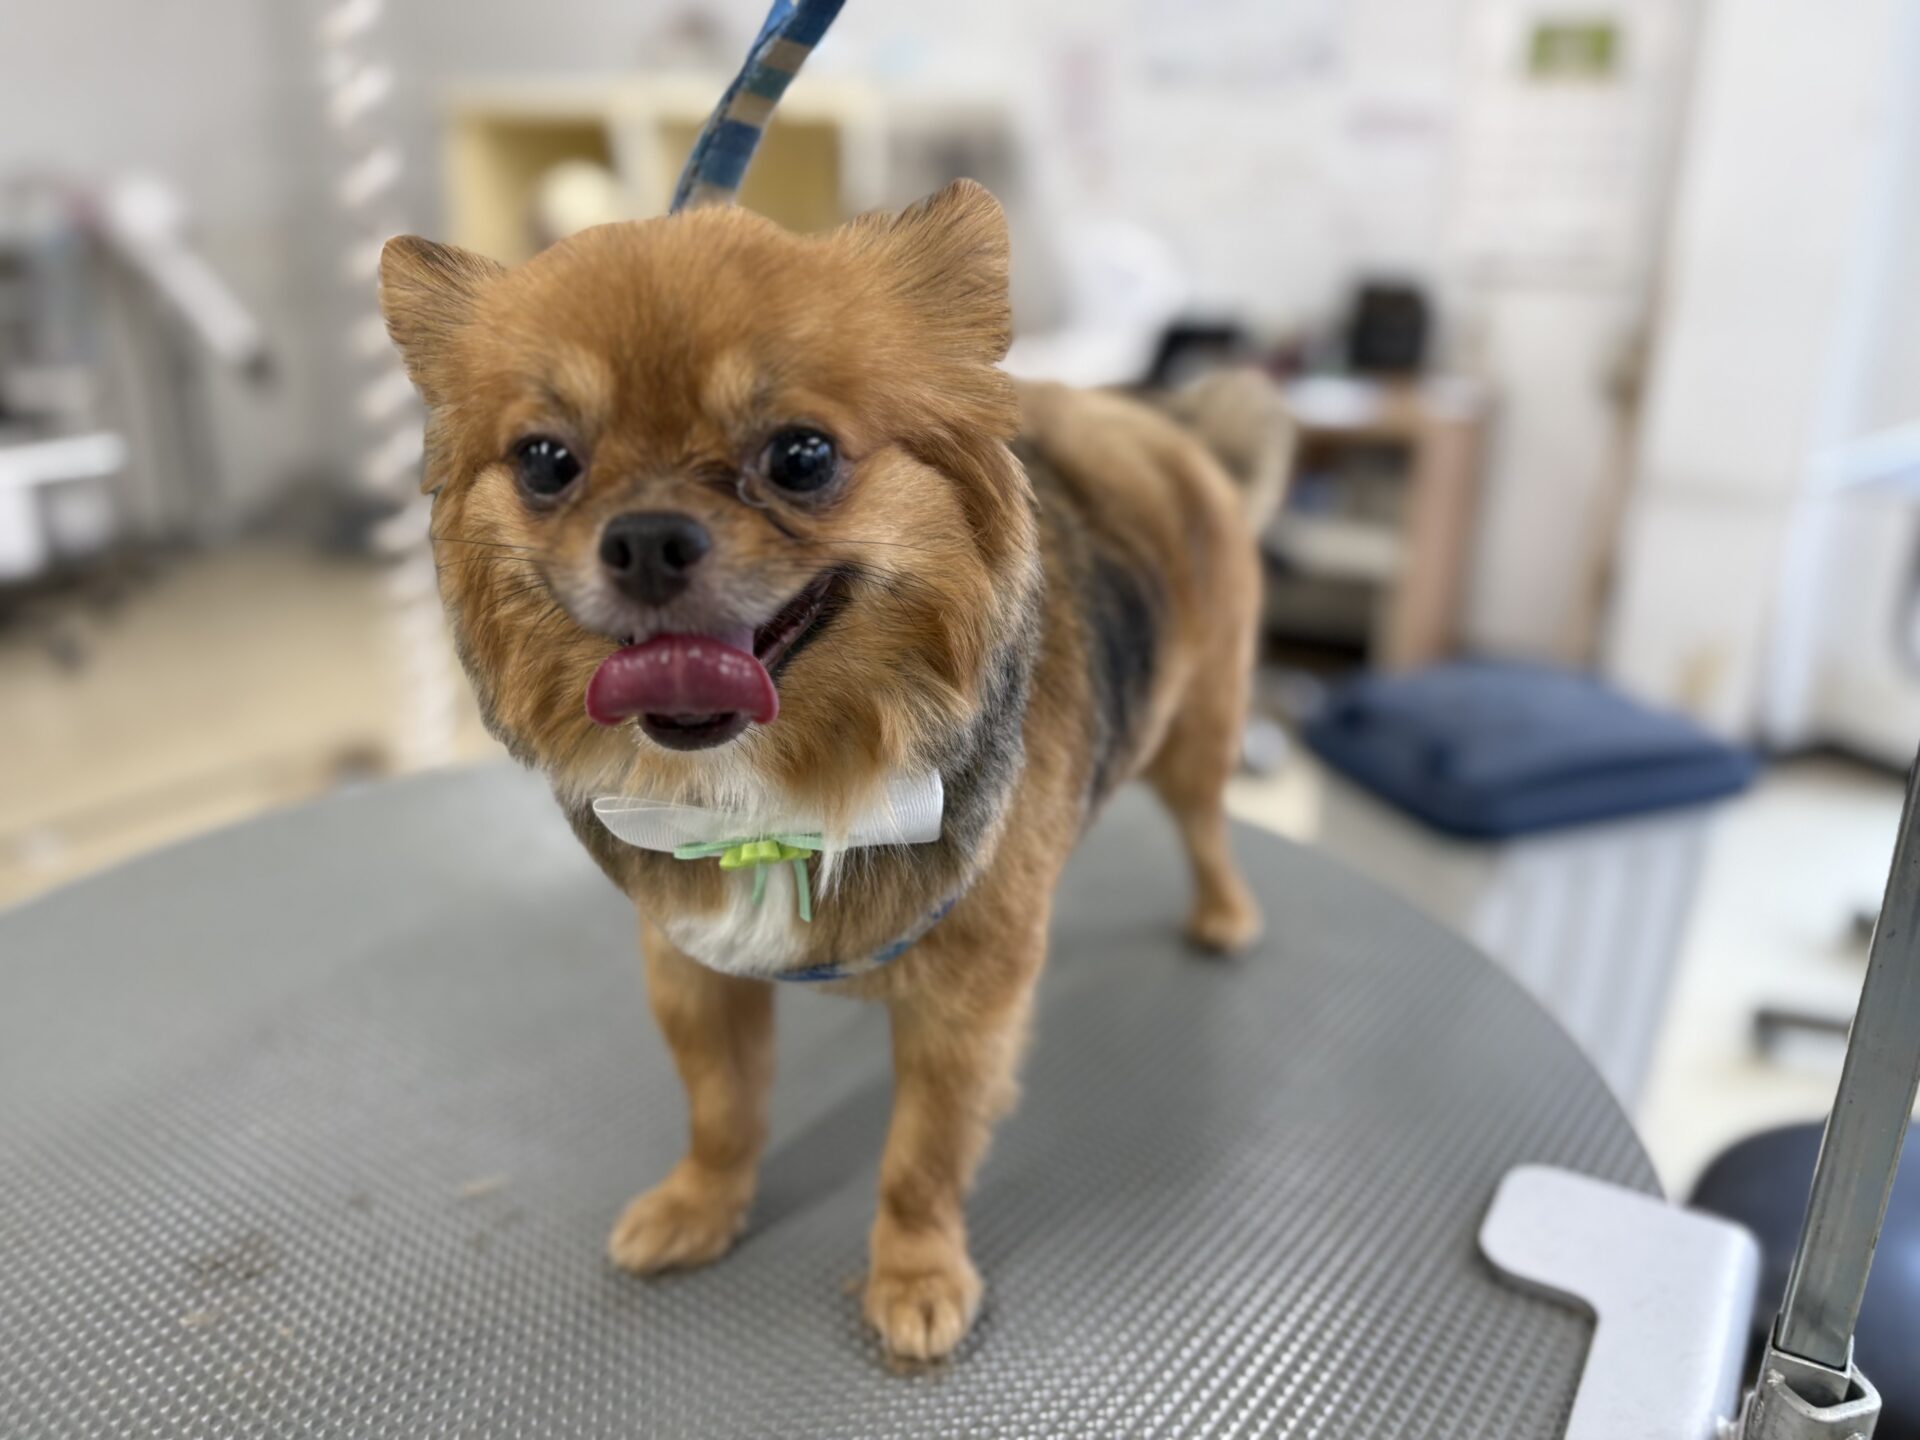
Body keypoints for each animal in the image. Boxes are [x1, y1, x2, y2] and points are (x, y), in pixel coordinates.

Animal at [378, 179, 1282, 1361]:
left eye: (801, 456)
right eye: (545, 462)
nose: (647, 537)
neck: (778, 793)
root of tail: (1167, 429)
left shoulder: (968, 1004)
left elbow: (922, 1158)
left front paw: (915, 1273)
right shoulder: (691, 964)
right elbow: (722, 1109)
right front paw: (700, 1204)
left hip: (1197, 732)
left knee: (1207, 825)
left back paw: (1224, 915)